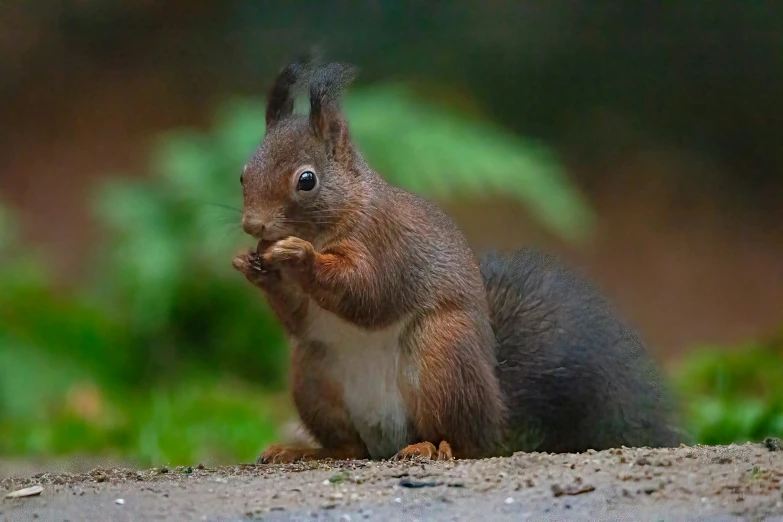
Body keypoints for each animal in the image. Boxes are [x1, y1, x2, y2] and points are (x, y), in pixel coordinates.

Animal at [231, 57, 680, 462]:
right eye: (242, 173)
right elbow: (297, 316)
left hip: (443, 358)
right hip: (312, 376)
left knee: (461, 440)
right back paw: (302, 451)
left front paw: (300, 256)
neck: (342, 212)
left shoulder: (388, 246)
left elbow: (367, 291)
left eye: (306, 180)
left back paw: (431, 446)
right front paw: (253, 266)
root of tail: (496, 413)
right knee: (350, 447)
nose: (253, 224)